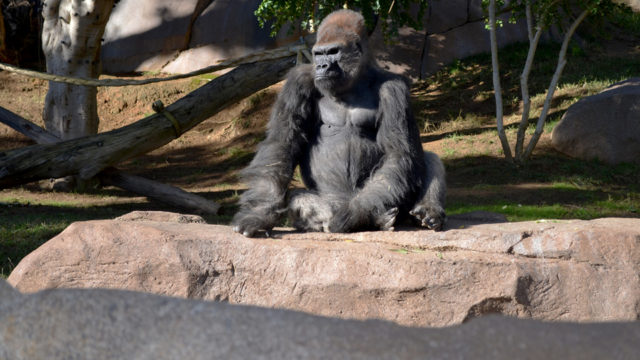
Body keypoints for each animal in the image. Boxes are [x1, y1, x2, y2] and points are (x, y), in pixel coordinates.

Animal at [232, 9, 448, 236]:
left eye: (334, 51)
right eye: (318, 54)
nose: (321, 66)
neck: (354, 81)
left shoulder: (393, 88)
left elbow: (398, 152)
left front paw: (354, 214)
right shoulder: (298, 82)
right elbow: (281, 144)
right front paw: (259, 213)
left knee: (423, 160)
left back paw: (427, 212)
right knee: (299, 198)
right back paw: (375, 218)